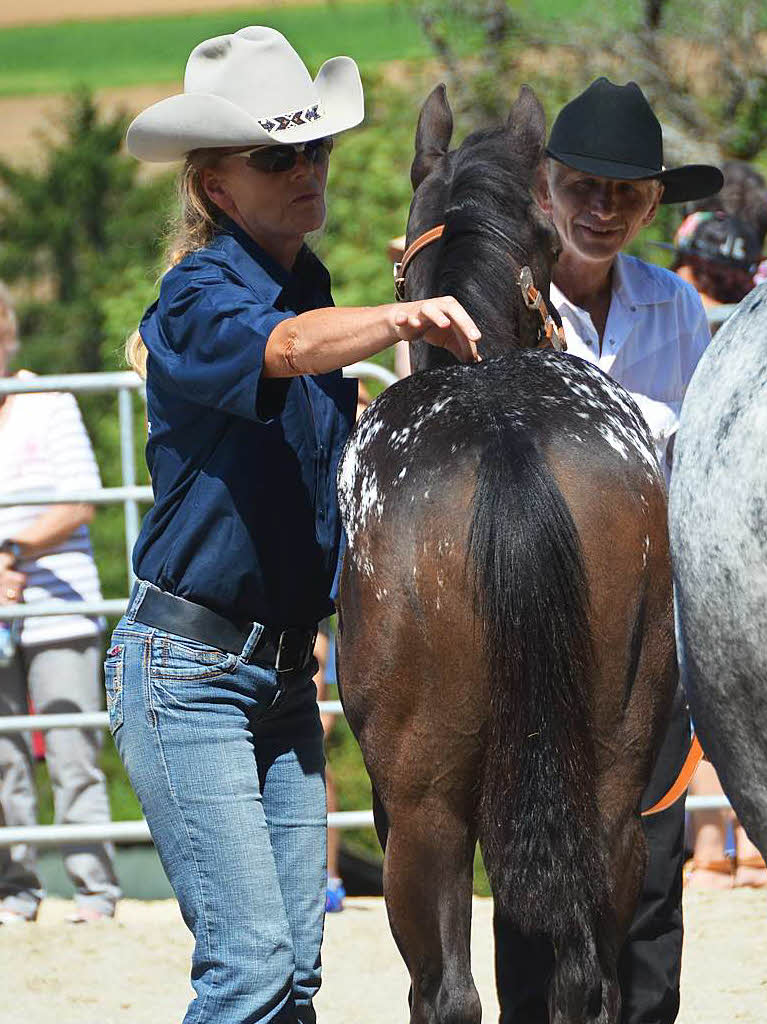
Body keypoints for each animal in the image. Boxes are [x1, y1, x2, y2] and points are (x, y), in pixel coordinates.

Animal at [335, 88, 675, 1024]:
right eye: (553, 241)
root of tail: (505, 437)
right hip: (610, 780)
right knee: (586, 979)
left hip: (423, 805)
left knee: (447, 991)